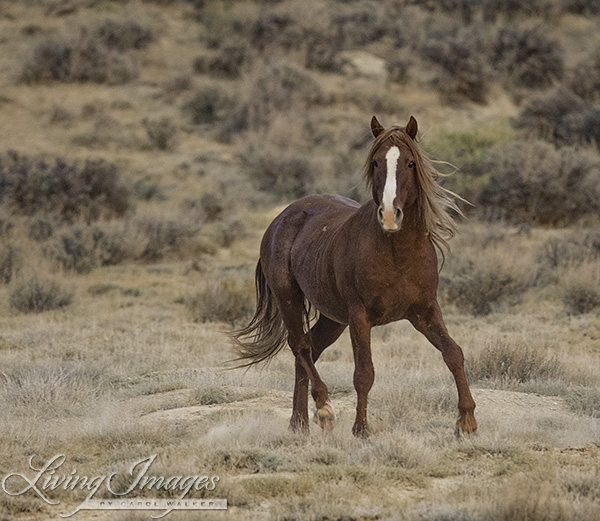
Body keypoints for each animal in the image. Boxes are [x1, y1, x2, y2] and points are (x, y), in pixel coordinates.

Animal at [232, 116, 476, 436]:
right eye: (375, 162)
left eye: (410, 163)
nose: (390, 215)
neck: (396, 251)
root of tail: (282, 217)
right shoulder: (360, 316)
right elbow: (364, 373)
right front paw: (361, 430)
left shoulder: (424, 311)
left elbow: (453, 353)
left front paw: (467, 421)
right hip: (289, 299)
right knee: (300, 346)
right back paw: (323, 409)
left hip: (334, 318)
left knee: (309, 349)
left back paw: (299, 424)